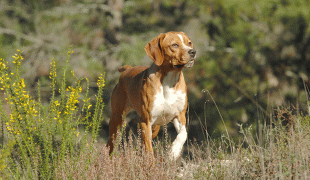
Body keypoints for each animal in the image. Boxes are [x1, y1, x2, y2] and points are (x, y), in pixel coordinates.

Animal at [108, 31, 197, 160]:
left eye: (189, 43)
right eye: (174, 45)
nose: (193, 51)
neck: (169, 81)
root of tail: (127, 70)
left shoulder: (180, 115)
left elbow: (183, 134)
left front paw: (174, 152)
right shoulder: (146, 121)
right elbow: (149, 151)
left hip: (155, 127)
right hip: (117, 119)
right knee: (111, 143)